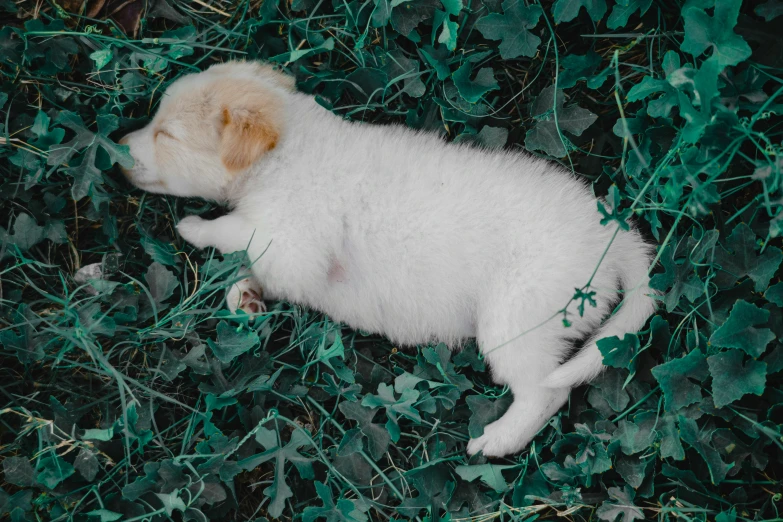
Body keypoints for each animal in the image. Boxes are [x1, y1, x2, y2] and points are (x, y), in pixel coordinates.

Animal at [119, 61, 660, 456]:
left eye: (167, 135)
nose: (118, 149)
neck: (287, 152)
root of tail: (614, 238)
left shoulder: (293, 238)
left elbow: (235, 231)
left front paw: (194, 227)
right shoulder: (291, 260)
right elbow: (253, 264)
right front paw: (245, 298)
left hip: (517, 319)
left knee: (545, 393)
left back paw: (495, 441)